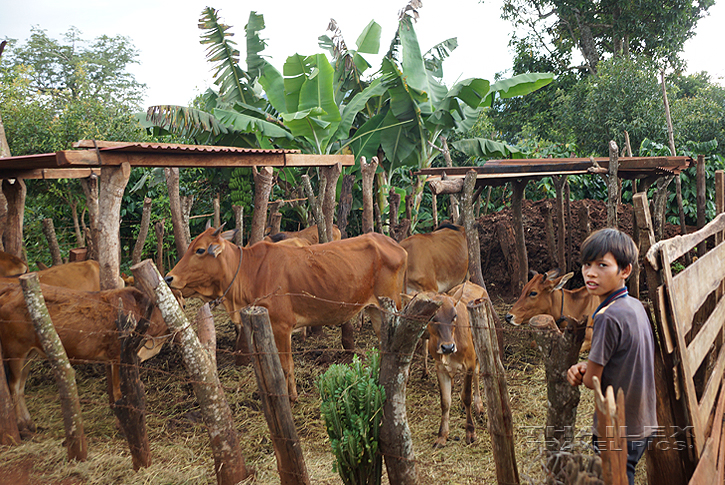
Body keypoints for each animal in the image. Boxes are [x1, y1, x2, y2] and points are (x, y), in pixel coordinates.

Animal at [0, 282, 168, 432]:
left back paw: (29, 424)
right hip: (15, 352)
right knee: (13, 386)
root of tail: (12, 289)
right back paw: (22, 426)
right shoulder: (118, 356)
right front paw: (123, 427)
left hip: (29, 354)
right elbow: (118, 392)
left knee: (20, 388)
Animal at [428, 282, 484, 448]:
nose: (448, 347)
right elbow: (445, 401)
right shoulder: (440, 368)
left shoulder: (470, 364)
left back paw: (479, 407)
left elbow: (467, 396)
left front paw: (470, 433)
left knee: (477, 376)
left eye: (454, 316)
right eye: (433, 317)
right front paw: (442, 436)